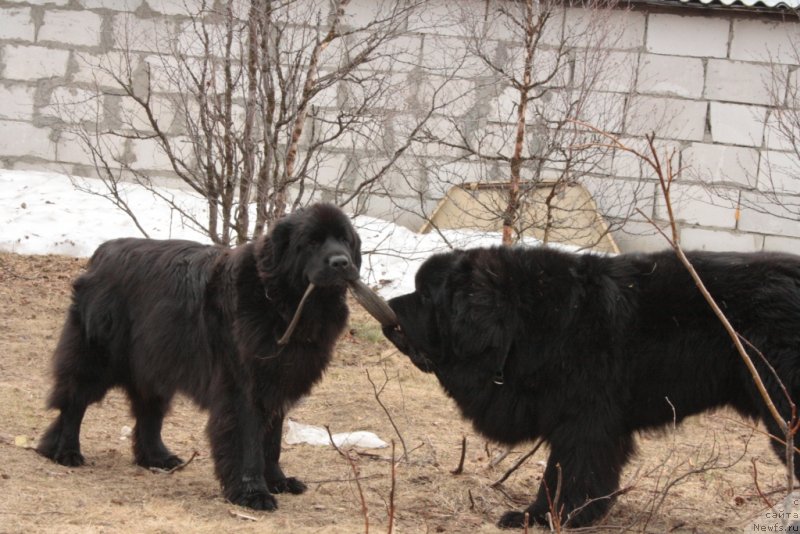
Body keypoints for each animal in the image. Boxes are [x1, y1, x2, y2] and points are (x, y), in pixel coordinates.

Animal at [37, 204, 360, 510]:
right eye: (312, 242)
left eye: (344, 239)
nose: (341, 262)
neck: (281, 304)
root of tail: (102, 253)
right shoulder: (242, 389)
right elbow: (248, 443)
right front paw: (252, 494)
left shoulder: (276, 388)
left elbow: (272, 442)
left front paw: (279, 481)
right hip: (97, 358)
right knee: (74, 403)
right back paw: (66, 451)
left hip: (156, 362)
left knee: (148, 412)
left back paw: (156, 457)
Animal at [382, 248, 800, 532]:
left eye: (425, 295)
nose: (387, 305)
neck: (523, 320)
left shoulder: (585, 421)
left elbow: (571, 472)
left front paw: (549, 516)